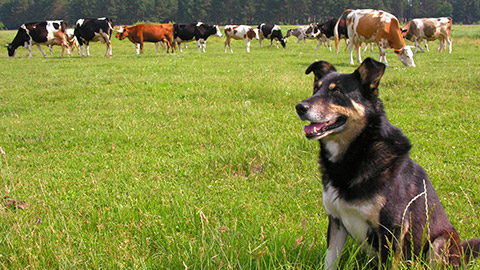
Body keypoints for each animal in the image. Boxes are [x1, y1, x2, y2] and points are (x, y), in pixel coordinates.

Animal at [296, 58, 480, 268]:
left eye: (337, 92)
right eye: (315, 89)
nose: (299, 107)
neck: (359, 151)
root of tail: (463, 254)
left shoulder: (392, 228)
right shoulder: (336, 221)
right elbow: (330, 260)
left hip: (442, 242)